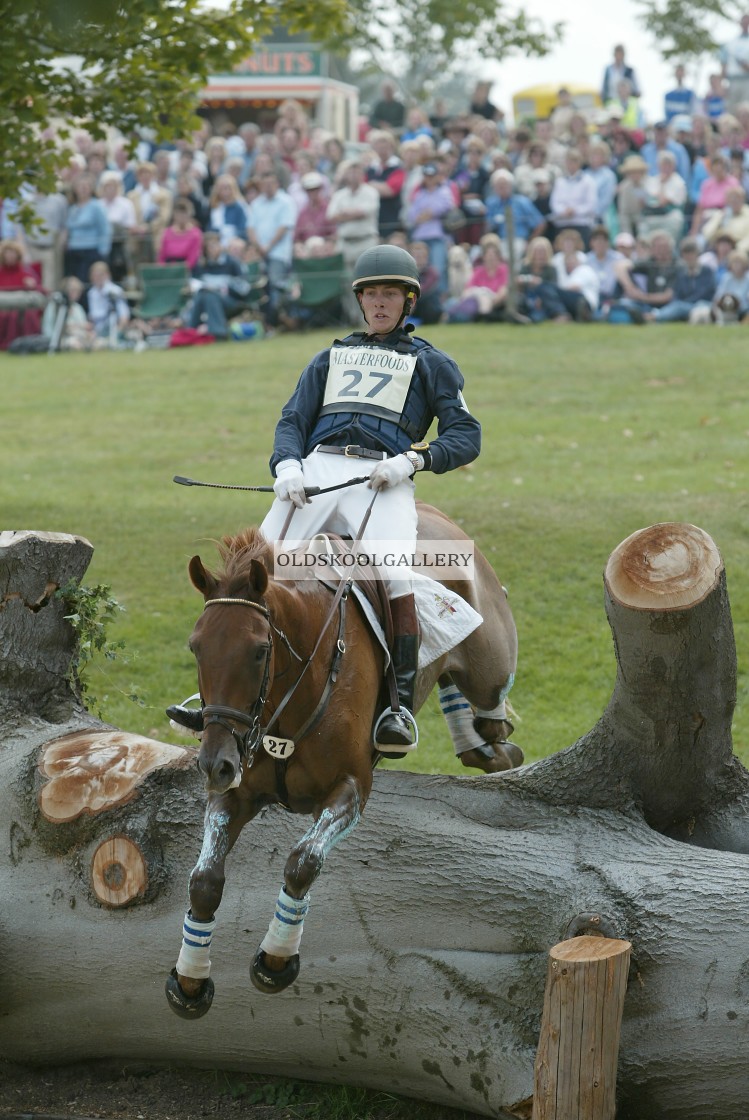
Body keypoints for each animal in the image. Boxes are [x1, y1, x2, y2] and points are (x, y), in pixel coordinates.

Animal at [164, 504, 517, 1021]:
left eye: (260, 651)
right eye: (195, 647)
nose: (214, 764)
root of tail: (435, 515)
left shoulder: (350, 788)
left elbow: (302, 862)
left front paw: (276, 959)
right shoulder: (237, 792)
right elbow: (204, 880)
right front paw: (190, 979)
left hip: (489, 666)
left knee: (497, 727)